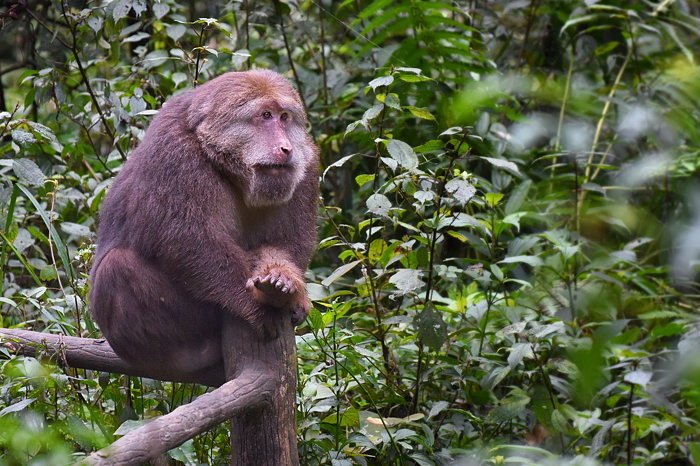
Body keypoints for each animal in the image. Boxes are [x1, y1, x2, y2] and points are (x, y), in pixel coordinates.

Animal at [89, 70, 318, 382]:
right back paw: (193, 353)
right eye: (265, 115)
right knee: (116, 267)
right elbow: (188, 240)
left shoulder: (307, 166)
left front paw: (285, 282)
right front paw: (259, 305)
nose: (286, 148)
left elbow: (286, 243)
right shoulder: (177, 158)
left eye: (285, 117)